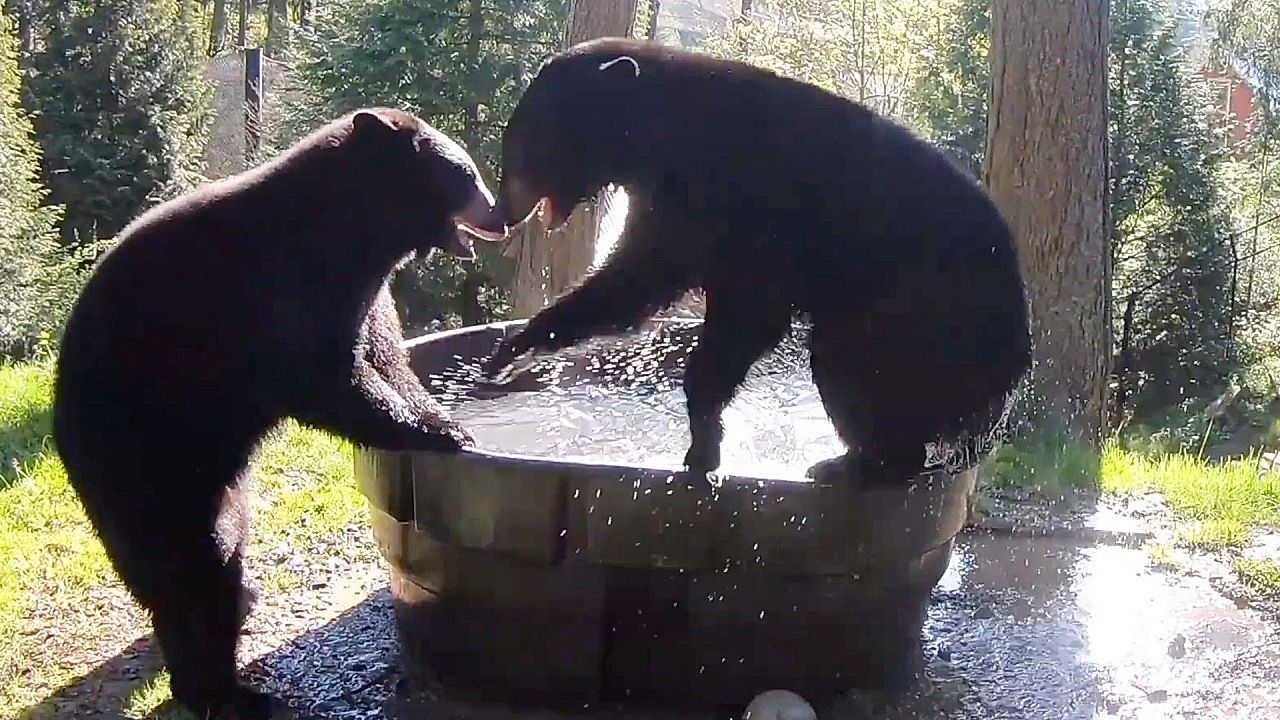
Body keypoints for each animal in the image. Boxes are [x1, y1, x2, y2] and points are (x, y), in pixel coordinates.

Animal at [52, 108, 506, 719]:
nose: (499, 215)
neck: (349, 233)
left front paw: (442, 413)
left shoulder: (364, 296)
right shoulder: (281, 294)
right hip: (144, 456)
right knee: (192, 566)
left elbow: (388, 358)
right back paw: (225, 690)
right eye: (465, 172)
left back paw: (240, 610)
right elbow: (327, 379)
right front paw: (446, 431)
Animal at [483, 38, 1031, 486]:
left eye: (524, 143)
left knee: (851, 363)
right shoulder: (676, 209)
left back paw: (853, 462)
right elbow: (635, 283)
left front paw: (703, 444)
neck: (665, 140)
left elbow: (746, 312)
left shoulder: (743, 207)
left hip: (924, 315)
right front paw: (514, 350)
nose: (500, 212)